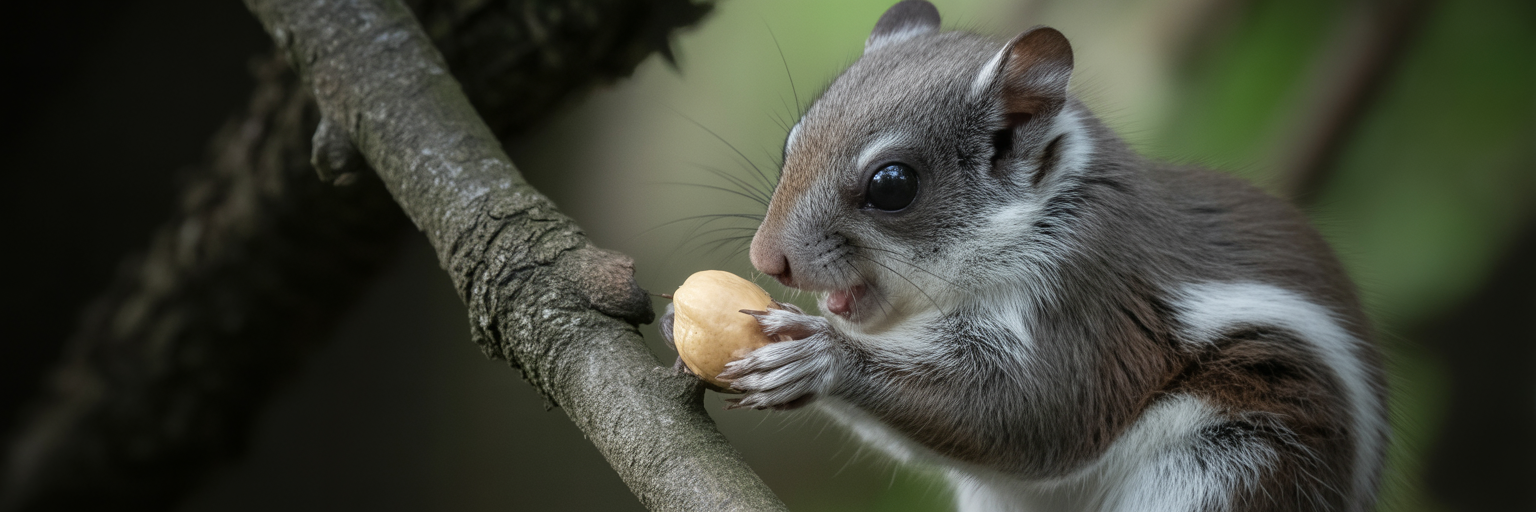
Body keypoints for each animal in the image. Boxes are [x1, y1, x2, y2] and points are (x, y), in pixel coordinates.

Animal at [660, 1, 1387, 510]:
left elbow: (1036, 415)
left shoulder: (1092, 305)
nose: (768, 259)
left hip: (1238, 466)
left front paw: (823, 357)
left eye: (892, 185)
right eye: (793, 141)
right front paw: (678, 320)